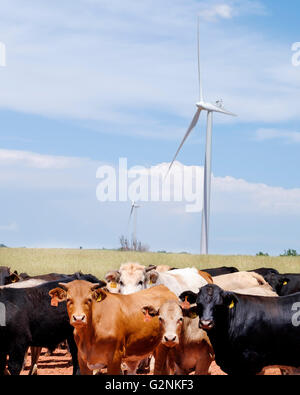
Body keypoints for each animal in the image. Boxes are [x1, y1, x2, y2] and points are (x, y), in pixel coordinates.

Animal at [48, 280, 177, 376]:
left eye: (89, 300)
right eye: (68, 300)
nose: (79, 318)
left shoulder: (114, 359)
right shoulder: (83, 360)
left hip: (163, 347)